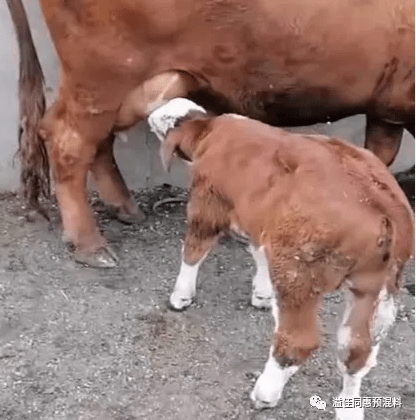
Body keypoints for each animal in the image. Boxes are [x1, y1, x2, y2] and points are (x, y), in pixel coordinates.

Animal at [4, 0, 414, 268]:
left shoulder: (387, 108)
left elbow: (380, 159)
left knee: (96, 140)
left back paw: (124, 208)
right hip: (103, 72)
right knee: (67, 139)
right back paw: (90, 244)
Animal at [148, 99, 414, 420]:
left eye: (166, 119)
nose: (150, 113)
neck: (210, 131)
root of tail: (385, 208)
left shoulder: (208, 203)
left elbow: (194, 250)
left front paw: (181, 295)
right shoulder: (259, 220)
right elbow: (259, 250)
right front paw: (261, 293)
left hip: (299, 274)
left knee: (299, 341)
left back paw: (266, 393)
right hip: (373, 287)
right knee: (357, 351)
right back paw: (349, 408)